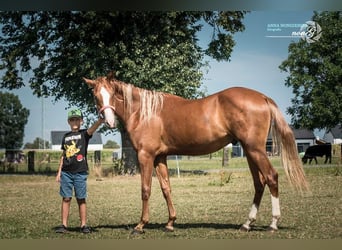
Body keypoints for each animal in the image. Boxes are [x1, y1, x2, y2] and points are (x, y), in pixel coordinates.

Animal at [84, 71, 308, 233]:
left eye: (112, 94)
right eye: (95, 96)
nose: (109, 121)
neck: (145, 112)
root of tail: (262, 97)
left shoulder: (146, 156)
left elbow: (145, 189)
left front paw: (140, 225)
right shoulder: (160, 157)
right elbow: (166, 188)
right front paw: (170, 223)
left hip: (256, 150)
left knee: (271, 177)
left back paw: (273, 224)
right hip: (251, 151)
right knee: (259, 183)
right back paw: (247, 224)